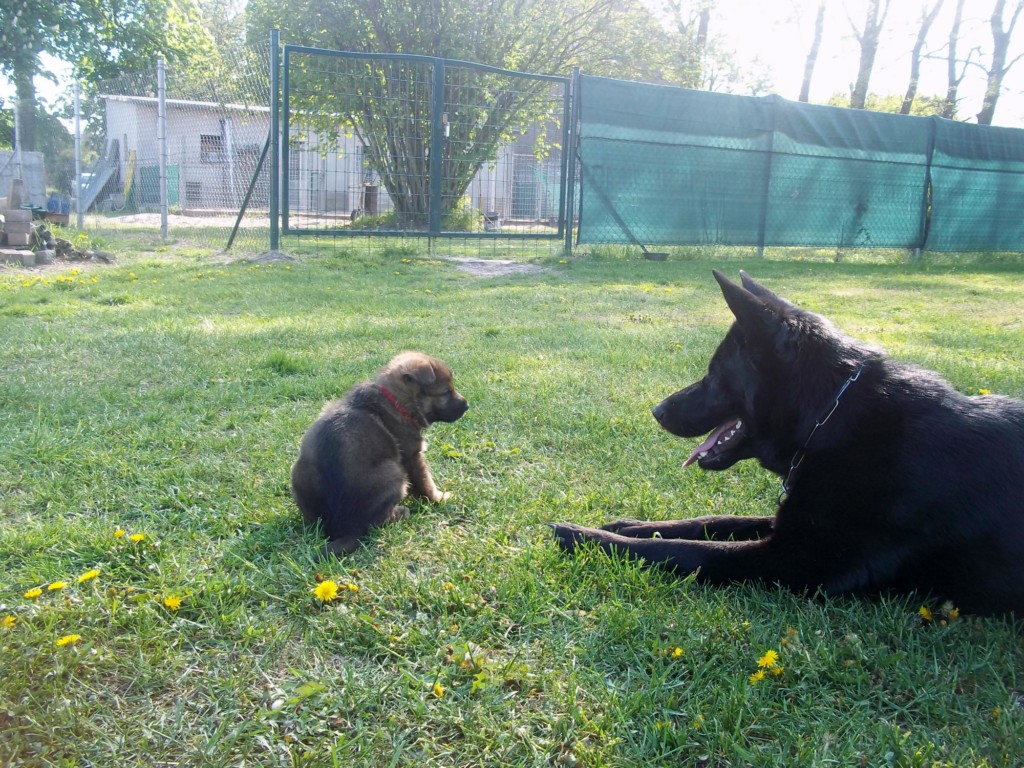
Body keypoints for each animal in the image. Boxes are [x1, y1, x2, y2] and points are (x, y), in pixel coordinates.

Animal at [290, 352, 468, 557]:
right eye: (446, 392)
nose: (467, 405)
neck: (396, 401)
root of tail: (347, 528)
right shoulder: (412, 456)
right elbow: (425, 483)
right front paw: (438, 498)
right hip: (395, 473)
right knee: (377, 522)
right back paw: (400, 513)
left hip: (297, 472)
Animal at [557, 274, 1024, 618]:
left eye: (713, 373)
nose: (657, 411)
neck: (831, 421)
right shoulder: (791, 523)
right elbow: (711, 520)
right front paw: (629, 524)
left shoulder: (792, 560)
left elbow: (687, 550)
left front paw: (582, 536)